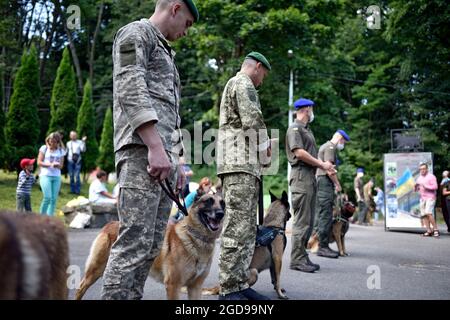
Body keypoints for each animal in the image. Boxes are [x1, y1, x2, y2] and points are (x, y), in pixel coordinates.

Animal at [76, 192, 229, 300]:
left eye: (222, 204)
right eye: (208, 201)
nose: (220, 214)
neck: (196, 238)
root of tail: (111, 223)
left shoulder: (195, 287)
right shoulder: (173, 286)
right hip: (97, 269)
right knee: (81, 287)